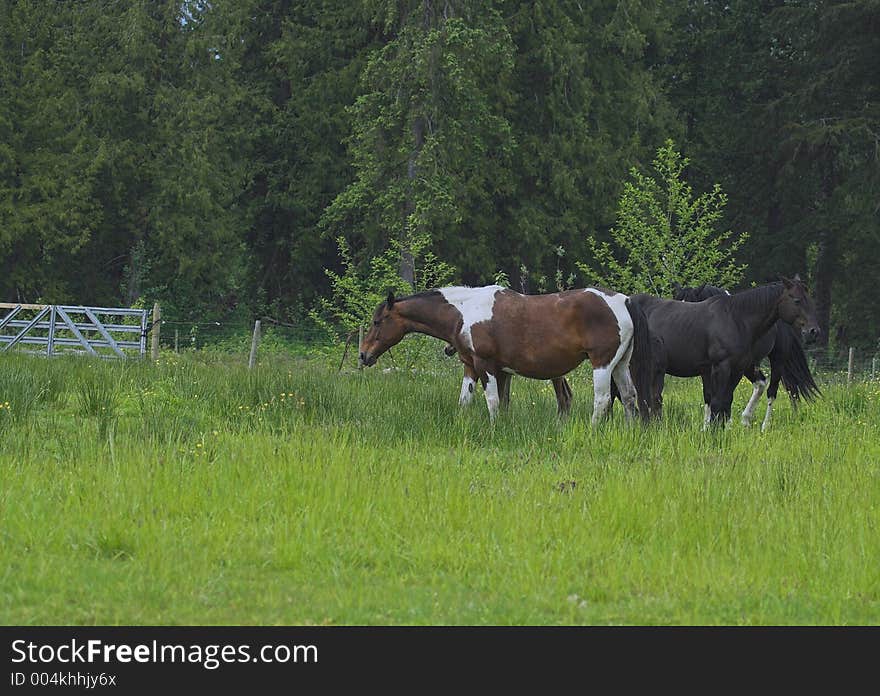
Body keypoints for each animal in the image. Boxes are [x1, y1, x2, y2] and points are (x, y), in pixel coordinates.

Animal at [444, 342, 576, 414]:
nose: (447, 350)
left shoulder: (502, 372)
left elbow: (502, 398)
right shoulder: (506, 372)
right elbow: (505, 398)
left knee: (563, 396)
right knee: (568, 394)